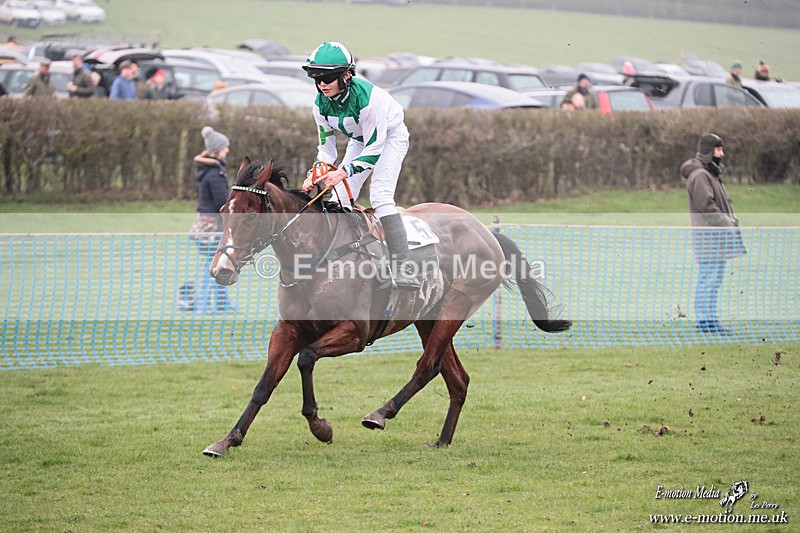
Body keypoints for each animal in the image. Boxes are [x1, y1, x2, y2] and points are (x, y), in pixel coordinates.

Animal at [202, 157, 571, 457]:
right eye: (222, 211)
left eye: (250, 216)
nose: (220, 271)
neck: (317, 255)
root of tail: (485, 231)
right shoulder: (288, 330)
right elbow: (264, 384)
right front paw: (227, 440)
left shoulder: (354, 333)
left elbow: (306, 358)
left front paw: (320, 427)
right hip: (427, 316)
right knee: (457, 378)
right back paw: (441, 441)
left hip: (455, 306)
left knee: (428, 367)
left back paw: (380, 413)